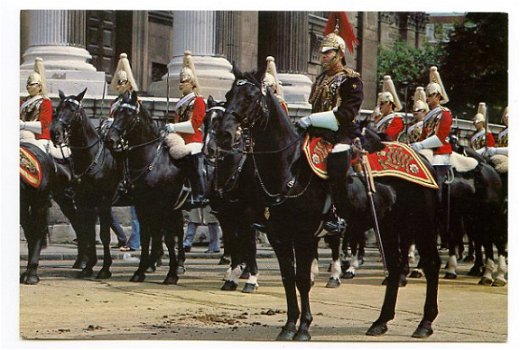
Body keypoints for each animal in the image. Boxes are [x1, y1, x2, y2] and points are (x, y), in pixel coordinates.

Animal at [50, 89, 124, 278]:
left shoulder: (103, 202)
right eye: (57, 109)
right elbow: (89, 232)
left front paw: (105, 268)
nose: (55, 133)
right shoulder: (84, 201)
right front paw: (89, 266)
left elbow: (103, 234)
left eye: (73, 111)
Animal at [104, 91, 186, 284]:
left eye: (128, 114)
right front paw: (140, 271)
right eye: (116, 112)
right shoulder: (143, 206)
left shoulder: (164, 207)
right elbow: (147, 237)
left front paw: (171, 275)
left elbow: (167, 238)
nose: (110, 140)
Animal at [217, 67, 440, 340]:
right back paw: (381, 321)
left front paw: (303, 327)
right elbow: (288, 278)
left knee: (431, 264)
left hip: (421, 225)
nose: (225, 134)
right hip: (389, 226)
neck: (289, 166)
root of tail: (423, 160)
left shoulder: (304, 235)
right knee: (396, 266)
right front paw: (288, 326)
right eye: (228, 95)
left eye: (250, 97)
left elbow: (302, 279)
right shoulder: (279, 235)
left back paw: (425, 323)